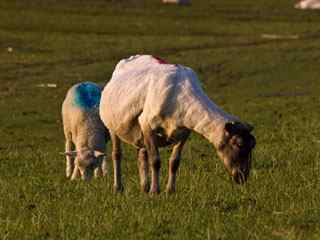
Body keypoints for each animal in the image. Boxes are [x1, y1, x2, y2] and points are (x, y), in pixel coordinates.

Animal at [99, 54, 255, 193]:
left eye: (252, 145)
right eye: (239, 144)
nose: (243, 177)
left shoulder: (184, 132)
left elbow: (174, 162)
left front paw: (170, 191)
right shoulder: (147, 124)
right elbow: (155, 161)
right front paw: (155, 191)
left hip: (139, 133)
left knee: (142, 156)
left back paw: (144, 187)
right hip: (113, 126)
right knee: (117, 155)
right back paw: (118, 187)